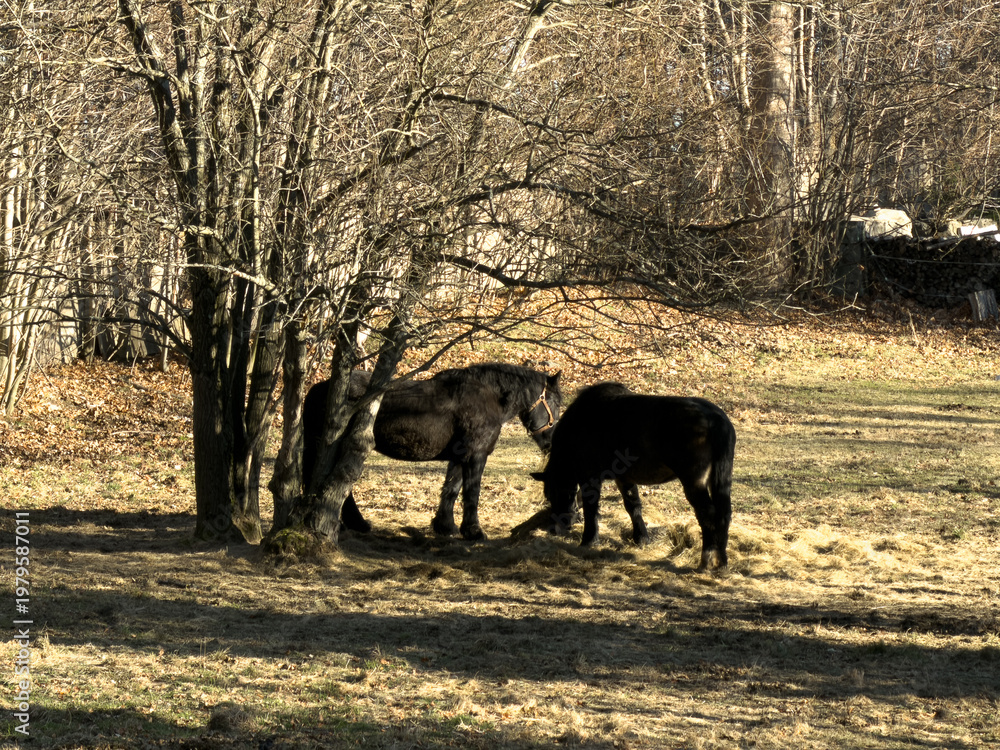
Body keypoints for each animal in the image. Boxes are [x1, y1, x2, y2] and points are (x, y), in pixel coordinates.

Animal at [303, 363, 563, 541]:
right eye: (555, 402)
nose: (552, 442)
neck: (488, 398)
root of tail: (320, 388)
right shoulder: (476, 457)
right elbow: (472, 492)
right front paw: (474, 531)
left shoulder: (460, 457)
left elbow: (451, 489)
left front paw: (445, 526)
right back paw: (352, 524)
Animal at [530, 382, 735, 570]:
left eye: (554, 494)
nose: (555, 529)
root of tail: (715, 419)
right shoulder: (625, 479)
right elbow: (633, 506)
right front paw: (641, 538)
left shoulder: (590, 478)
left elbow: (591, 509)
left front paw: (589, 540)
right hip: (721, 482)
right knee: (724, 515)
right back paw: (721, 562)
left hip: (694, 484)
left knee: (708, 515)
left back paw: (707, 560)